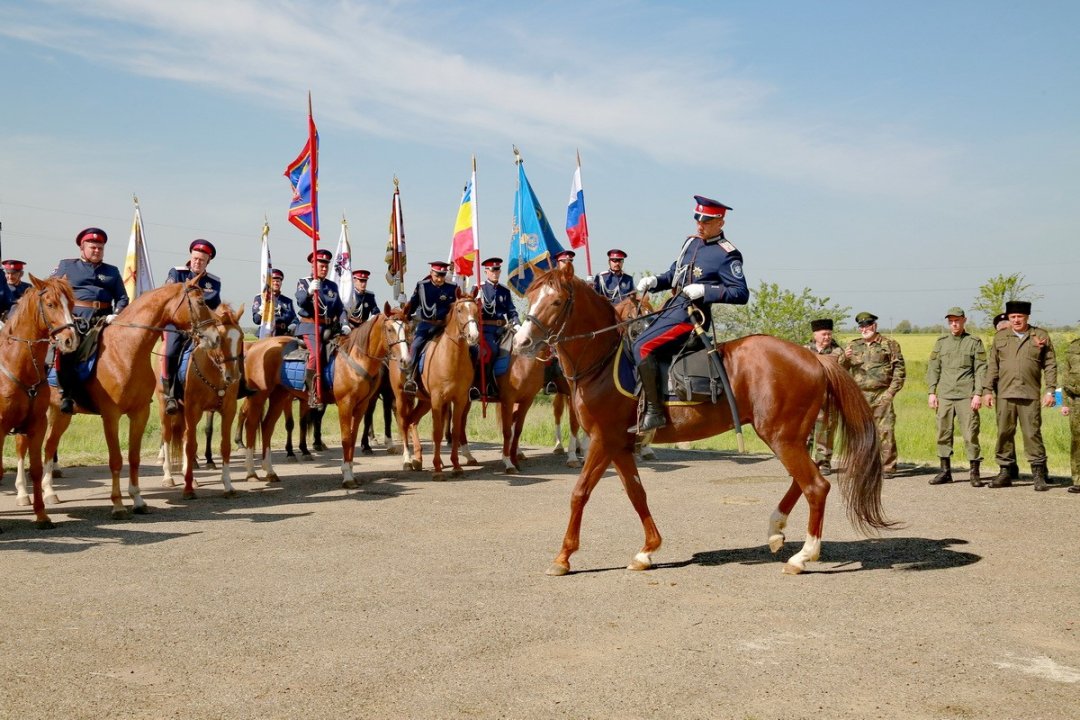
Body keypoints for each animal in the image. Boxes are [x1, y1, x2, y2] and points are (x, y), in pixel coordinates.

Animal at [1, 276, 78, 528]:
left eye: (71, 304)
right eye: (51, 304)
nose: (69, 340)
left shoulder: (37, 424)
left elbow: (35, 467)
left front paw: (42, 514)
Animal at [15, 280, 218, 518]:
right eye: (201, 301)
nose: (215, 336)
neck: (125, 350)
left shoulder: (140, 413)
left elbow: (133, 458)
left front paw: (138, 500)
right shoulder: (110, 416)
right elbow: (116, 460)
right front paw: (118, 504)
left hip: (60, 414)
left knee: (48, 446)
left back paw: (49, 493)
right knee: (23, 447)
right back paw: (23, 494)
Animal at [158, 302, 246, 496]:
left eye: (241, 337)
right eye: (220, 339)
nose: (233, 376)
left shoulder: (228, 410)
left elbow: (224, 446)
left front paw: (228, 485)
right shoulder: (193, 410)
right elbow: (191, 445)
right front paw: (188, 489)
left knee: (183, 436)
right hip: (165, 407)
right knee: (167, 437)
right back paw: (168, 476)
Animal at [384, 289, 477, 481]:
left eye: (476, 310)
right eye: (459, 310)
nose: (473, 336)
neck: (452, 357)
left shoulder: (459, 399)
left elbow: (455, 431)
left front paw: (456, 466)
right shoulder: (437, 399)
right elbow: (437, 433)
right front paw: (437, 470)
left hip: (424, 401)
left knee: (412, 422)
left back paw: (418, 459)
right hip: (402, 397)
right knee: (404, 423)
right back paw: (408, 460)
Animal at [514, 263, 894, 574]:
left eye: (556, 302)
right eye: (529, 297)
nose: (521, 342)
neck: (603, 361)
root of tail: (815, 359)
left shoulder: (603, 439)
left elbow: (579, 492)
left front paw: (563, 557)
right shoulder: (620, 444)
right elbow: (637, 493)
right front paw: (647, 550)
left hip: (781, 436)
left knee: (816, 486)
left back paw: (803, 556)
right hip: (788, 436)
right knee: (805, 480)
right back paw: (775, 531)